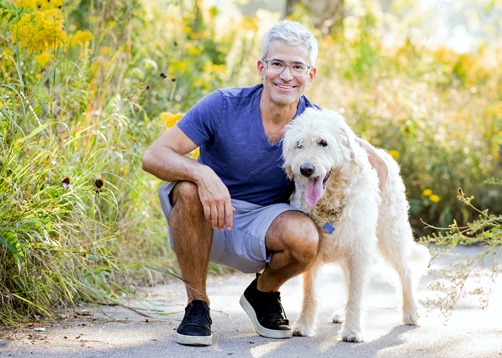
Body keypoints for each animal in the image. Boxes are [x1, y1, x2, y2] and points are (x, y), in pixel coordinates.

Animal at [284, 107, 430, 342]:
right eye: (299, 144)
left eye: (323, 142)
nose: (306, 169)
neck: (330, 202)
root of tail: (383, 153)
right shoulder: (314, 250)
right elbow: (309, 292)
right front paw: (303, 325)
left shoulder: (359, 250)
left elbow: (356, 294)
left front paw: (353, 330)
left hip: (390, 236)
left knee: (405, 271)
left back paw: (411, 312)